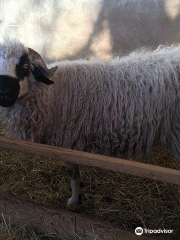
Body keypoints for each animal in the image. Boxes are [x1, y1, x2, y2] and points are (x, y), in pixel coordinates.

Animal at [0, 38, 180, 206]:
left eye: (24, 65)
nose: (4, 93)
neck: (51, 94)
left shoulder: (68, 142)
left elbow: (73, 174)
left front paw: (73, 200)